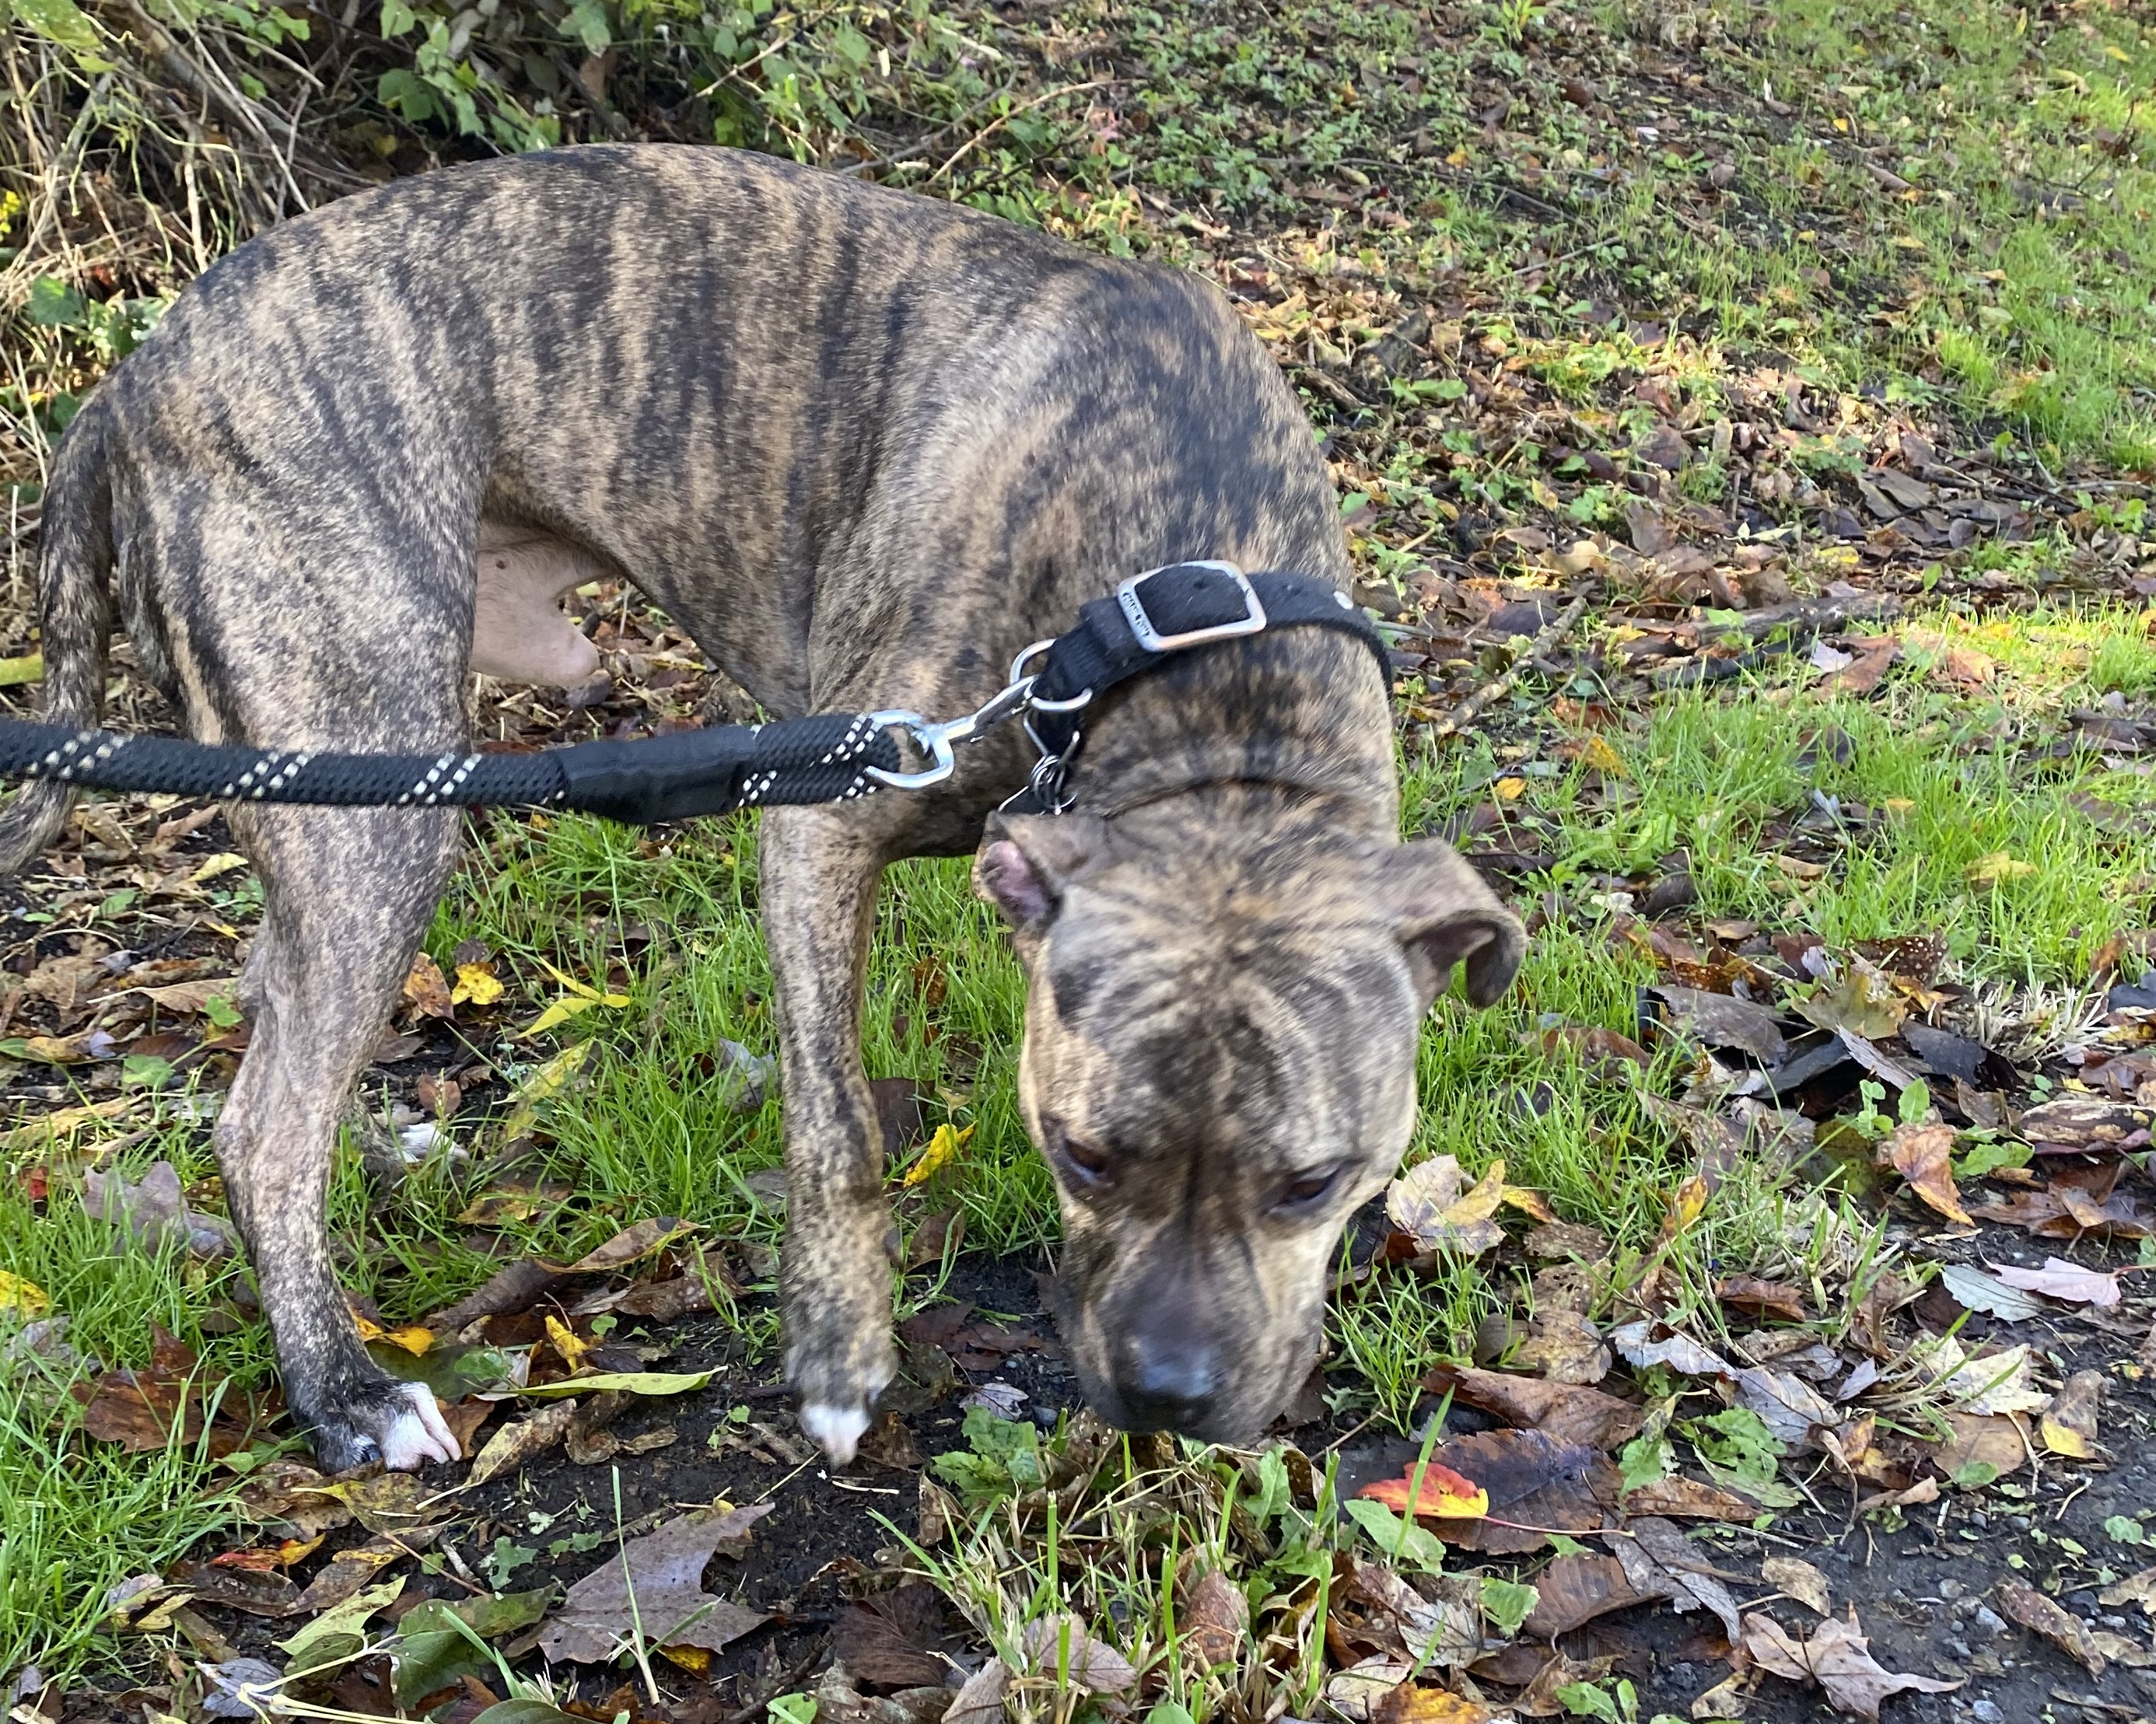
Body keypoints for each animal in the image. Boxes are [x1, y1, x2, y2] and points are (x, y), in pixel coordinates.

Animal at [3, 145, 1525, 1470]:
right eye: (1082, 1156)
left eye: (1314, 1182)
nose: (1166, 1395)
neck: (1201, 658)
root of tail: (126, 387)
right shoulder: (824, 816)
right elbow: (841, 1129)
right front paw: (842, 1356)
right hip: (373, 785)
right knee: (264, 1126)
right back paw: (344, 1389)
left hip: (338, 805)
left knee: (285, 1017)